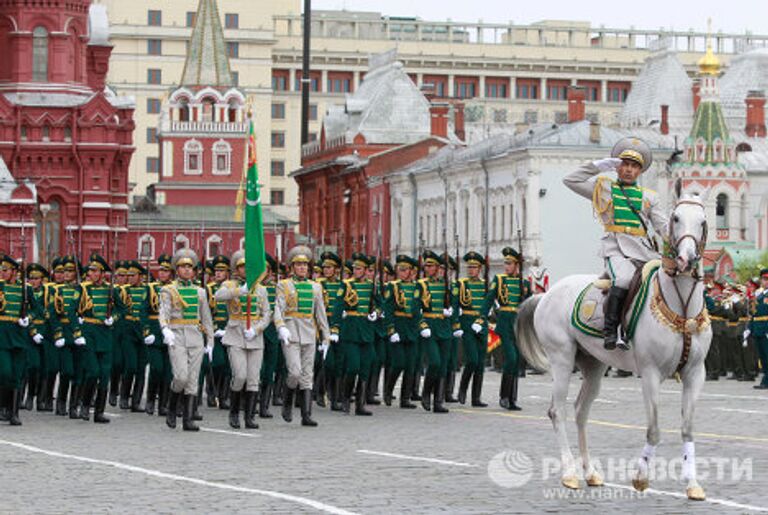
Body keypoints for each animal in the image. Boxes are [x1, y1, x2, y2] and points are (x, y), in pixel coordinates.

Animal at [520, 194, 712, 500]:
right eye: (676, 218)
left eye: (703, 221)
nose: (686, 259)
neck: (681, 308)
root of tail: (546, 293)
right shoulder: (650, 374)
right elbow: (654, 429)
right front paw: (641, 478)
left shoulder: (696, 373)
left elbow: (687, 429)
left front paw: (692, 484)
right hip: (562, 360)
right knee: (557, 411)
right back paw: (569, 474)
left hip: (594, 365)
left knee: (580, 412)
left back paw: (590, 473)